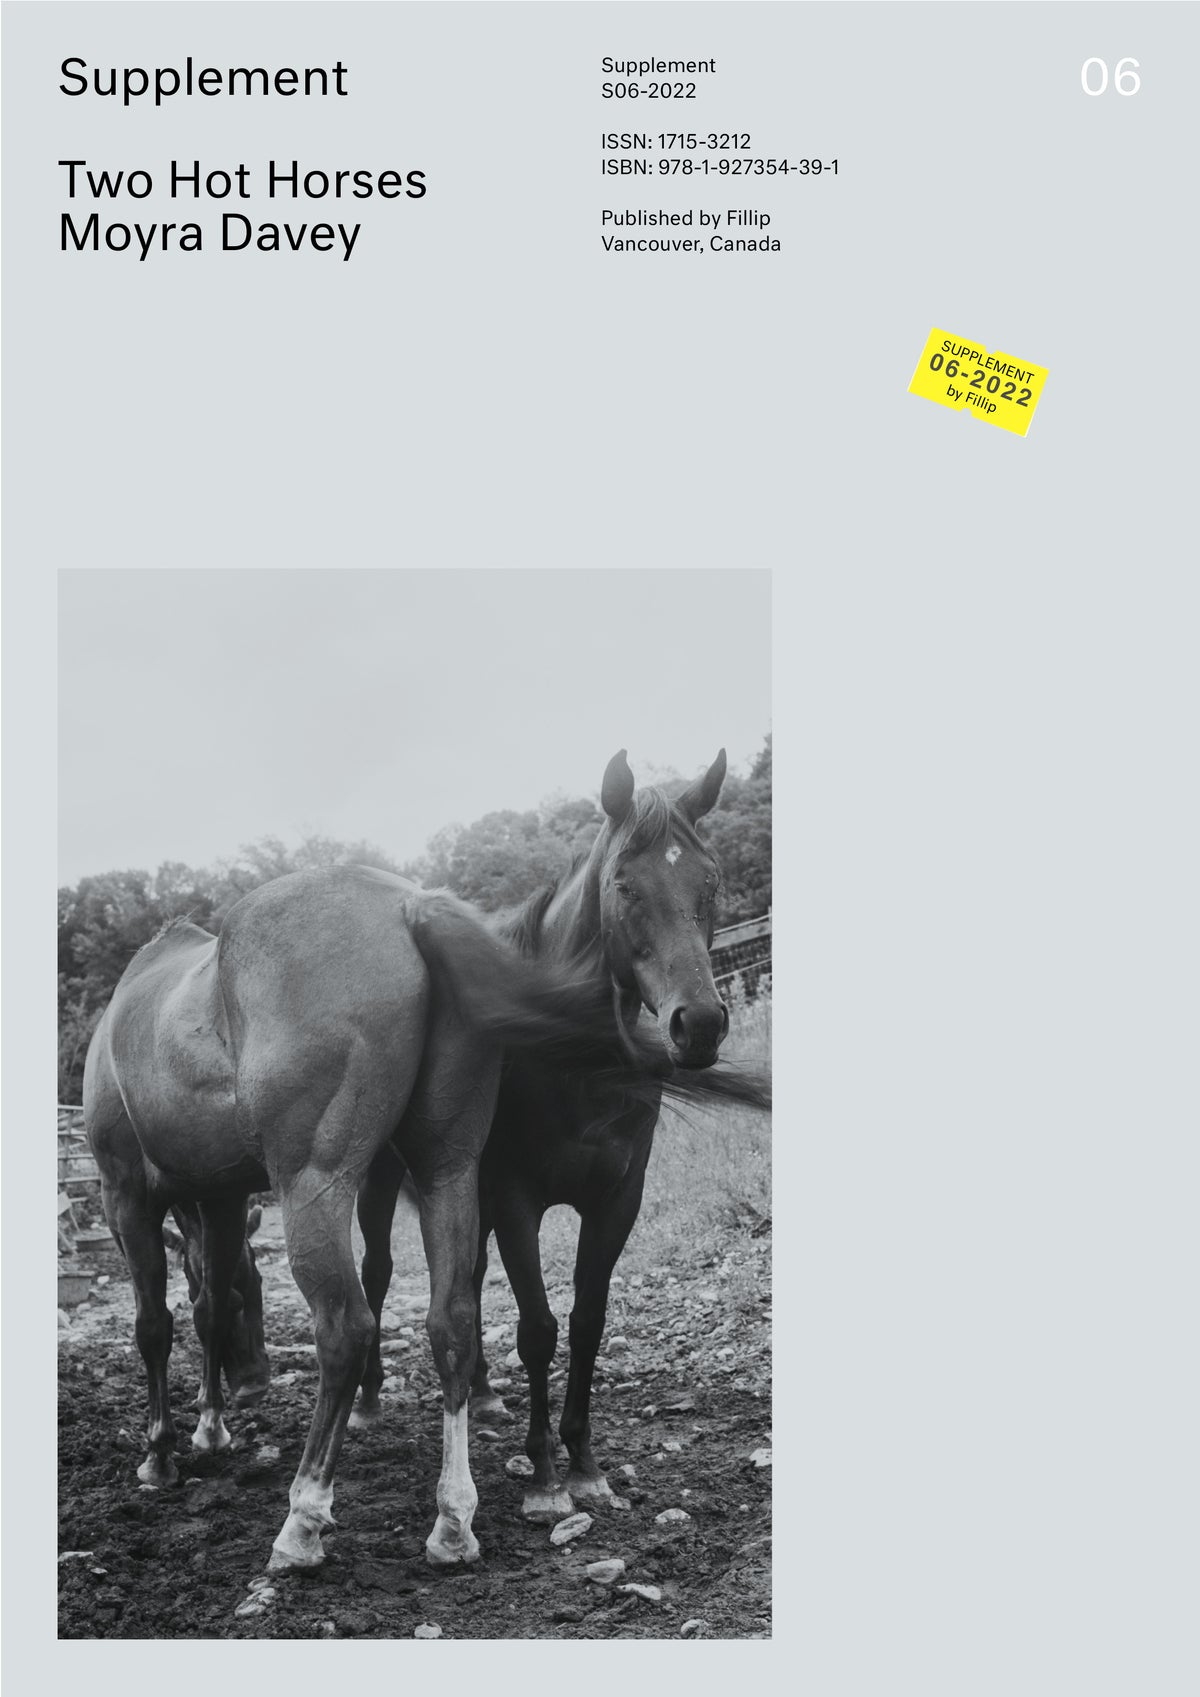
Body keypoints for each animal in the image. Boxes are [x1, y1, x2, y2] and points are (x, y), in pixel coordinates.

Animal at [83, 861, 740, 1572]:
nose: (254, 1382)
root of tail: (409, 907)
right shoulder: (220, 1198)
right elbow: (207, 1306)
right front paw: (209, 1425)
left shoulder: (126, 1197)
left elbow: (155, 1324)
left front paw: (161, 1452)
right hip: (443, 1169)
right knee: (450, 1318)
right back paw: (453, 1519)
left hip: (317, 1187)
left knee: (345, 1327)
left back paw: (304, 1517)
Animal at [354, 748, 762, 1519]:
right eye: (624, 884)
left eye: (710, 879)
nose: (698, 1024)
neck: (568, 1059)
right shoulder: (518, 1199)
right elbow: (539, 1328)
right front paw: (544, 1475)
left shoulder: (616, 1200)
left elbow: (586, 1321)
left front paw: (584, 1461)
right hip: (382, 1183)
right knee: (376, 1274)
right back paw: (364, 1400)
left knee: (468, 1275)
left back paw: (482, 1393)